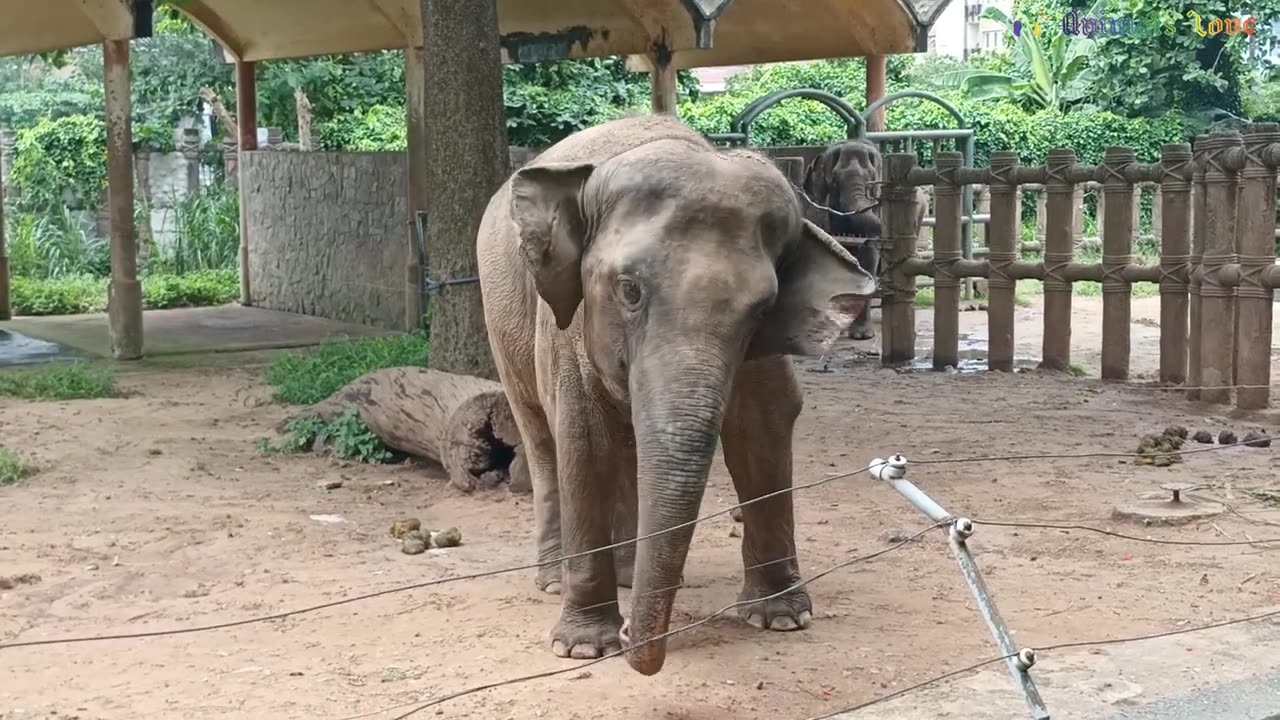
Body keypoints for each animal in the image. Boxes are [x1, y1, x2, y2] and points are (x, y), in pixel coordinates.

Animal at [476, 112, 875, 671]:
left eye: (761, 309)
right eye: (629, 290)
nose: (630, 638)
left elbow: (764, 425)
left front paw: (780, 618)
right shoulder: (565, 324)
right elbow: (582, 435)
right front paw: (583, 647)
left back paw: (633, 574)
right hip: (500, 318)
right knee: (542, 437)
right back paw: (555, 580)